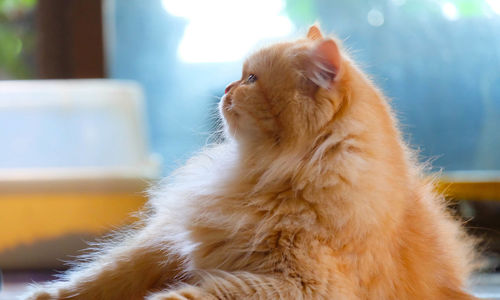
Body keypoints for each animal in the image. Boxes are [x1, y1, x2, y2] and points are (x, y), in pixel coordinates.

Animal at [25, 25, 478, 300]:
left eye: (251, 80)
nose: (226, 87)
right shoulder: (163, 242)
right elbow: (101, 276)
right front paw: (43, 294)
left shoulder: (296, 285)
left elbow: (195, 293)